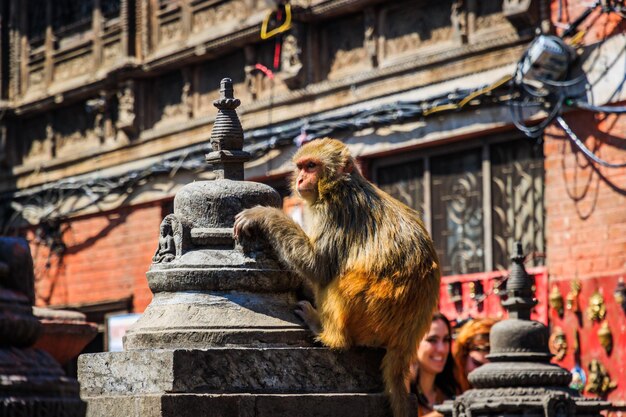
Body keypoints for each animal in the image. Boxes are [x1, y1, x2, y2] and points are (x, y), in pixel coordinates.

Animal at [234, 137, 438, 416]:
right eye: (301, 166)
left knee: (338, 280)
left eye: (312, 166)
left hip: (371, 314)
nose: (300, 180)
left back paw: (328, 333)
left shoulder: (334, 210)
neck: (340, 184)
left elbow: (318, 266)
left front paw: (264, 214)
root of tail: (409, 336)